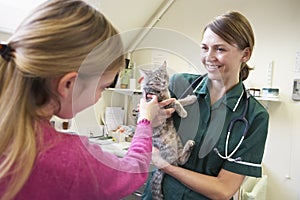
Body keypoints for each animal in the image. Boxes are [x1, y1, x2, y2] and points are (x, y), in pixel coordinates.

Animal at [139, 61, 196, 199]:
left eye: (164, 75)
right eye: (156, 79)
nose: (164, 82)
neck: (162, 91)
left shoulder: (168, 98)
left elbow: (178, 99)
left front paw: (190, 99)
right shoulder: (161, 104)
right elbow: (175, 102)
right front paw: (183, 112)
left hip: (177, 140)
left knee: (180, 160)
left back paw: (189, 145)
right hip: (169, 150)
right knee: (175, 163)